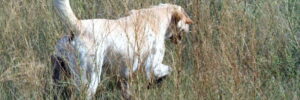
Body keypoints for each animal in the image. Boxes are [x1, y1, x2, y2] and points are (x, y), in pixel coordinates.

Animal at [52, 0, 192, 99]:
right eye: (186, 22)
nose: (189, 28)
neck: (156, 17)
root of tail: (78, 27)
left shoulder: (125, 75)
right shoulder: (151, 66)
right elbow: (168, 69)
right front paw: (156, 81)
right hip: (92, 76)